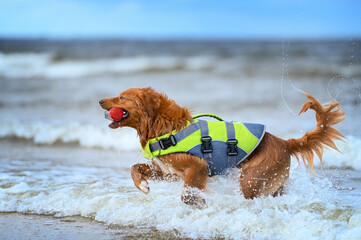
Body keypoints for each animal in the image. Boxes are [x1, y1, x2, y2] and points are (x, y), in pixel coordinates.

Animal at [97, 87, 344, 205]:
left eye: (122, 97)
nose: (100, 101)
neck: (164, 127)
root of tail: (284, 142)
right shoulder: (169, 171)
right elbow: (134, 168)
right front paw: (142, 185)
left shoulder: (197, 167)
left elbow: (187, 194)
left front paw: (199, 202)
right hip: (273, 185)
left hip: (251, 180)